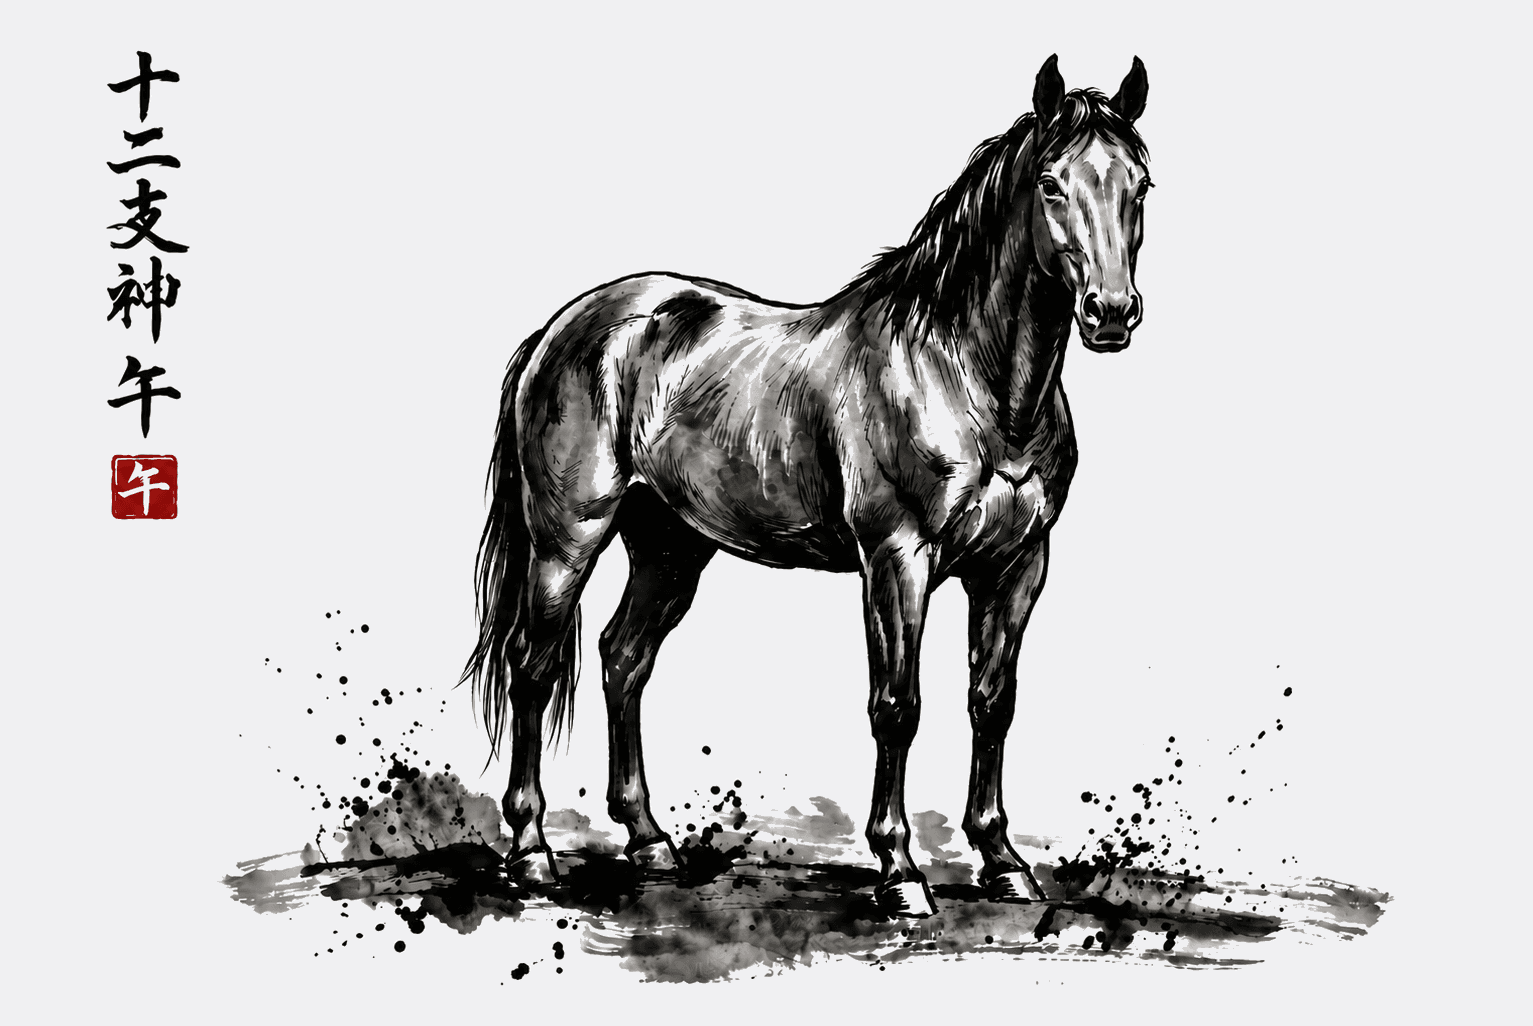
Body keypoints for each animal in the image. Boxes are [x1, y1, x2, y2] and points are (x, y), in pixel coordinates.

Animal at [463, 54, 1152, 918]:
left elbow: (992, 702)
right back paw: (530, 852)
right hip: (568, 537)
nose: (1111, 313)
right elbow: (897, 706)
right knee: (534, 664)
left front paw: (1002, 862)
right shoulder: (896, 561)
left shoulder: (1018, 566)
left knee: (623, 657)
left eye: (1139, 184)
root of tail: (567, 326)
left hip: (669, 545)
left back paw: (650, 843)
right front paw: (899, 871)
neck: (967, 378)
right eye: (1052, 183)